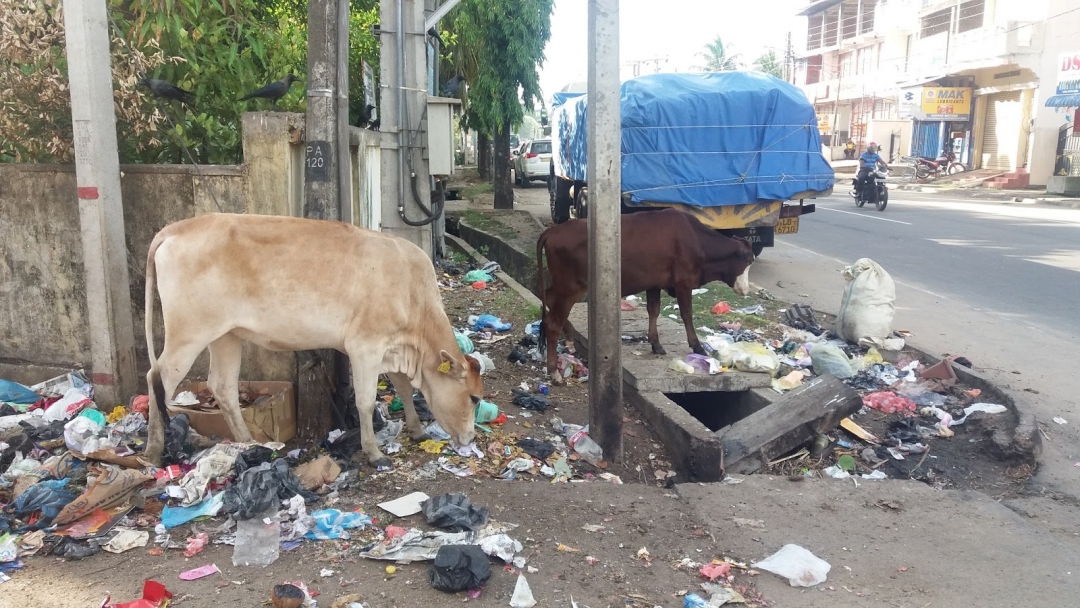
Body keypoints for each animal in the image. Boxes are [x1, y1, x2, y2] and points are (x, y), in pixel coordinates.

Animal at [142, 213, 481, 466]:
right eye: (474, 398)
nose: (471, 438)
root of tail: (177, 228)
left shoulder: (392, 347)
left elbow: (404, 389)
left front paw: (416, 430)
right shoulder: (365, 346)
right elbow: (365, 401)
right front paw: (374, 453)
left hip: (225, 335)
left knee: (222, 386)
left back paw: (248, 443)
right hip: (188, 334)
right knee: (157, 378)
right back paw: (153, 452)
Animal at [535, 207, 756, 382]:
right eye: (748, 261)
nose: (746, 290)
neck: (696, 240)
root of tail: (554, 229)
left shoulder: (654, 284)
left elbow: (654, 311)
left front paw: (656, 344)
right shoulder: (683, 282)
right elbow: (686, 314)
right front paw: (697, 346)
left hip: (562, 287)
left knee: (547, 298)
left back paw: (569, 337)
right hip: (570, 287)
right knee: (552, 322)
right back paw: (554, 371)